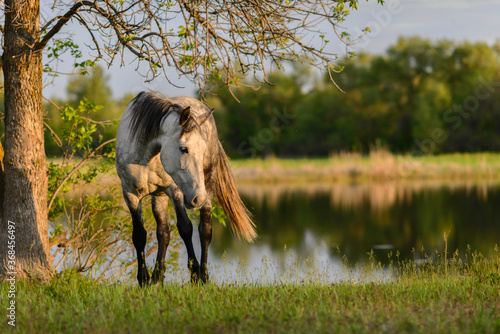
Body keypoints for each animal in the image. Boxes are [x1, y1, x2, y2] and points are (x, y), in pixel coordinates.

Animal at [115, 92, 256, 288]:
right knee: (163, 231)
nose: (197, 198)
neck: (146, 156)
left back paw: (204, 276)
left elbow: (185, 228)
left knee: (205, 231)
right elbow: (140, 235)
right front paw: (144, 279)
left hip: (206, 186)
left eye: (202, 150)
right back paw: (158, 276)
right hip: (160, 195)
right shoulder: (130, 194)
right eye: (184, 149)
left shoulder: (175, 191)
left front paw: (195, 273)